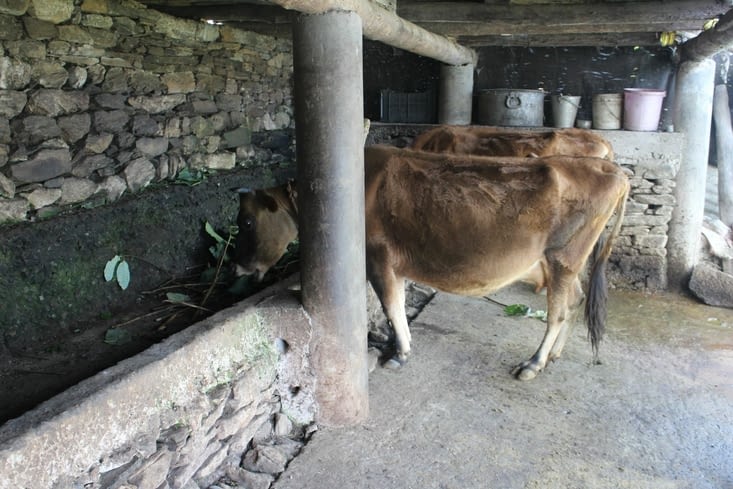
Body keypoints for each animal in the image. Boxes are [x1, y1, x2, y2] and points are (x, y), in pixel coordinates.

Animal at [235, 145, 629, 380]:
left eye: (248, 222)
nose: (237, 267)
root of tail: (611, 169)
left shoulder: (378, 257)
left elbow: (391, 306)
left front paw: (399, 353)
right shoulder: (394, 264)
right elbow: (397, 304)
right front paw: (400, 344)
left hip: (563, 258)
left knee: (559, 311)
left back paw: (533, 363)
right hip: (564, 263)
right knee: (576, 300)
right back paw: (555, 356)